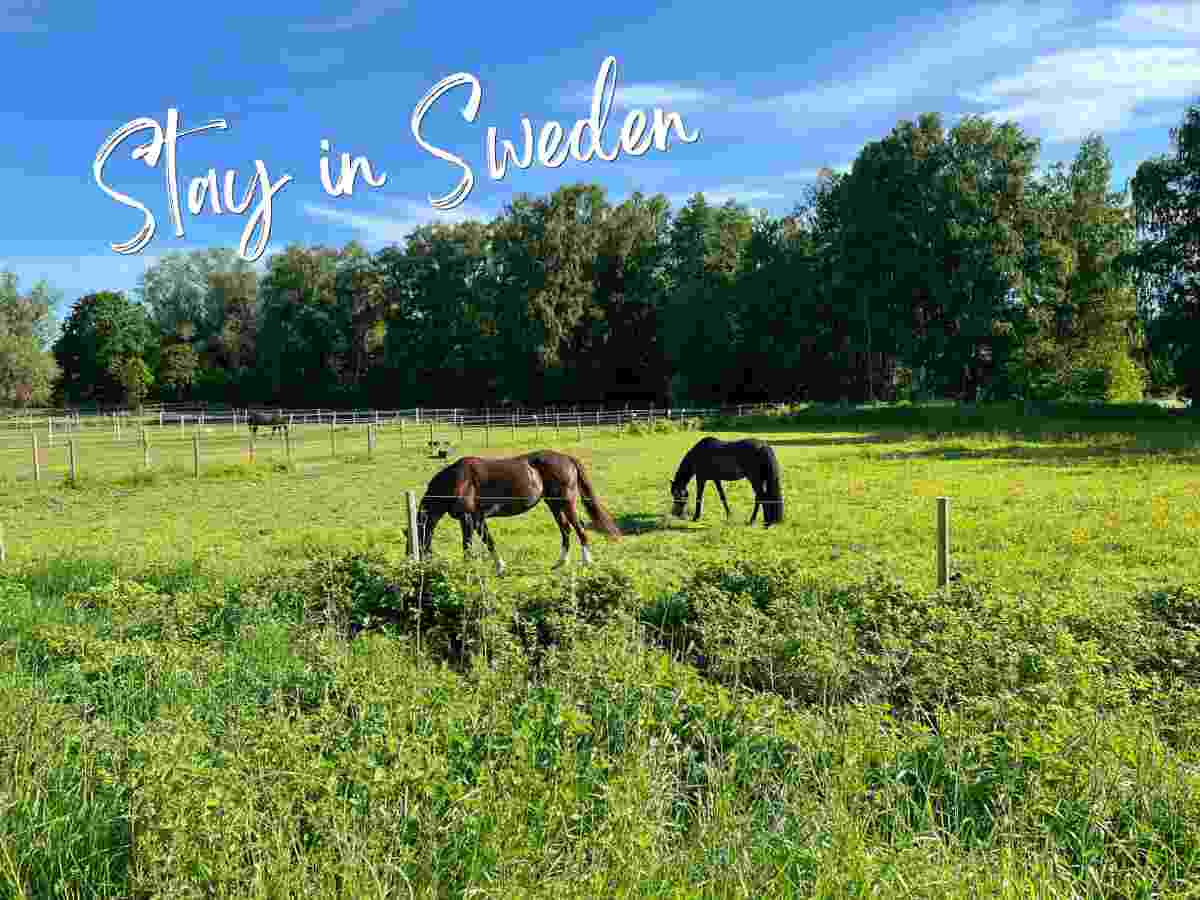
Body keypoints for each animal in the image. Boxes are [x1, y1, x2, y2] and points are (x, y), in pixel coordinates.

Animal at [417, 451, 624, 578]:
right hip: (554, 505)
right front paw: (499, 567)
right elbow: (488, 541)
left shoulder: (468, 518)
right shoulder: (477, 519)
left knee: (580, 529)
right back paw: (560, 563)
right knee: (566, 531)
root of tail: (567, 458)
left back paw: (586, 562)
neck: (458, 479)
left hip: (566, 503)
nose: (422, 564)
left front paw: (468, 570)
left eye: (420, 533)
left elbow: (468, 545)